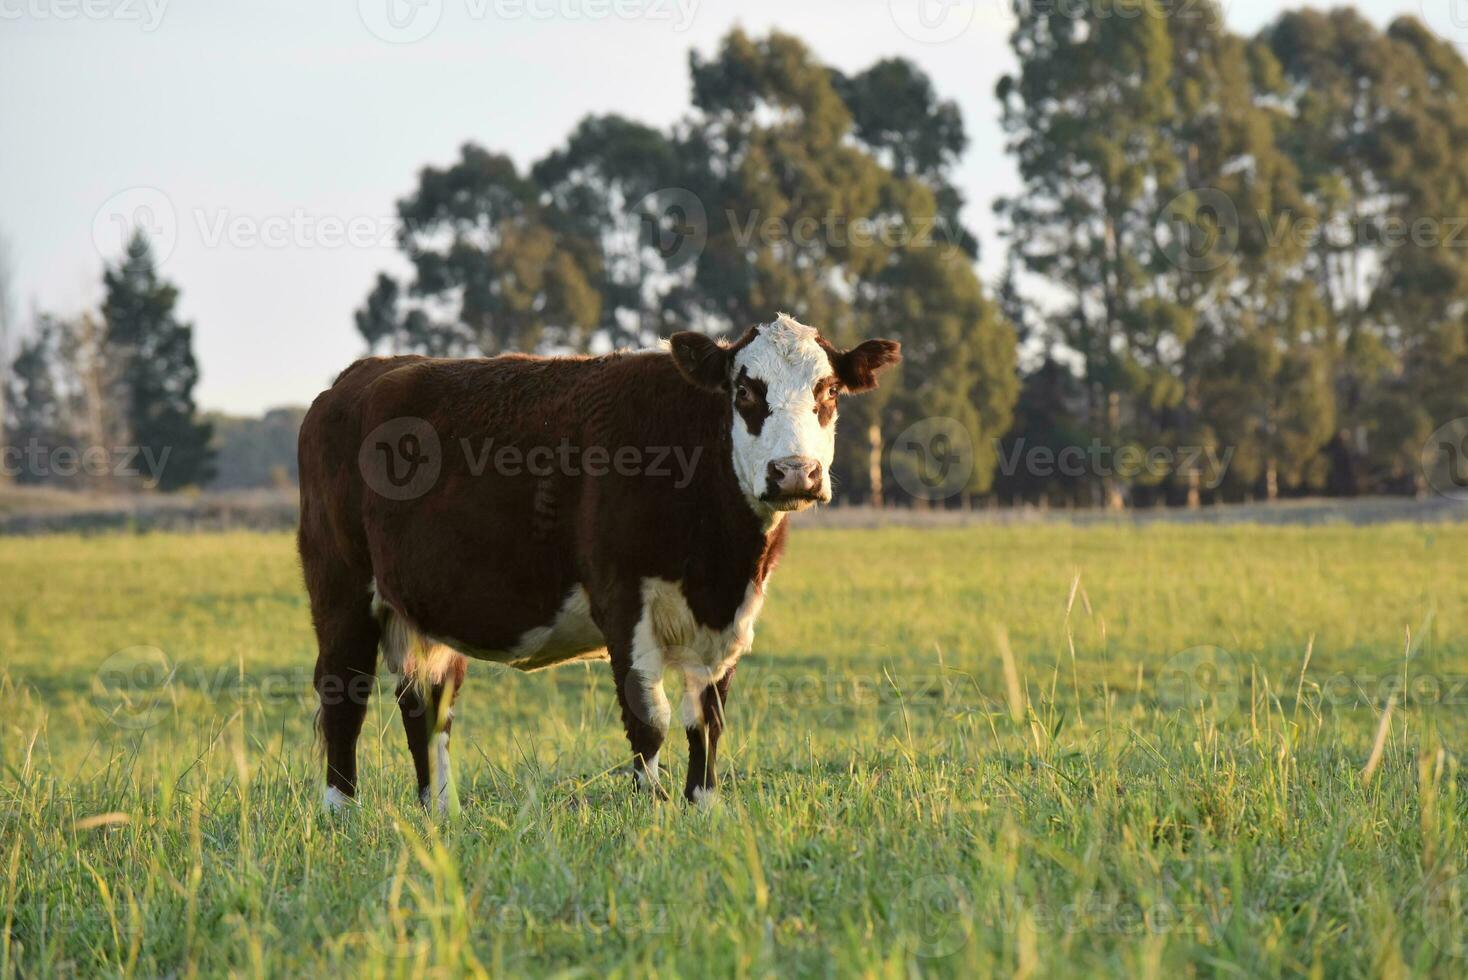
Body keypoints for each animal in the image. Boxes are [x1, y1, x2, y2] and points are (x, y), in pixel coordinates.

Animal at [295, 313, 892, 809]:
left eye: (829, 390)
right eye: (744, 390)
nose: (794, 472)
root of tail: (357, 376)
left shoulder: (729, 617)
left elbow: (708, 719)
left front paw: (701, 806)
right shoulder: (621, 599)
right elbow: (649, 717)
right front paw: (651, 810)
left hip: (422, 610)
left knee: (427, 704)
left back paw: (440, 812)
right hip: (341, 588)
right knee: (344, 695)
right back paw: (341, 812)